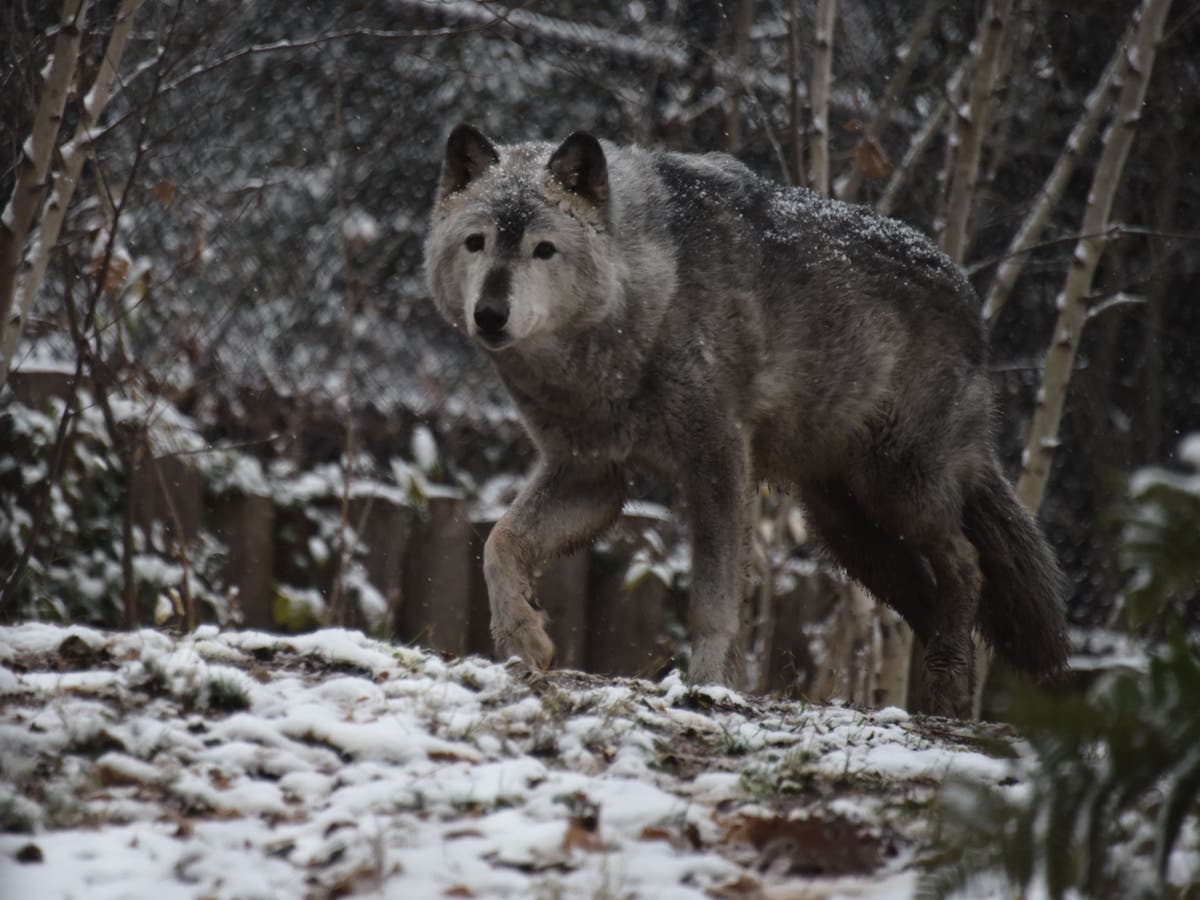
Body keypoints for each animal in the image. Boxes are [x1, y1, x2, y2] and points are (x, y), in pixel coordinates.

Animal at [424, 124, 1070, 717]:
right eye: (477, 242)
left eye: (544, 249)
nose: (490, 314)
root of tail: (969, 296)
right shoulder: (591, 475)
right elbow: (498, 544)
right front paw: (522, 640)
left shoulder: (717, 462)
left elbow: (713, 600)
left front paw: (711, 686)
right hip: (846, 531)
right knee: (928, 594)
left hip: (900, 498)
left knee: (967, 566)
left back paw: (948, 690)